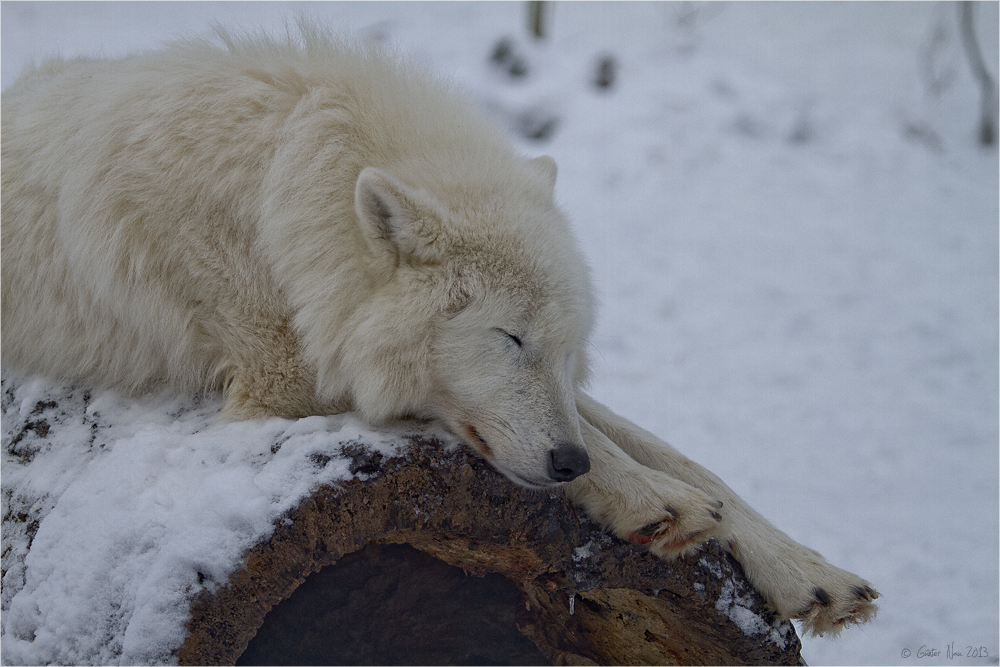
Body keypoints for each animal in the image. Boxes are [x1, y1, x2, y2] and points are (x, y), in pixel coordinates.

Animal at [0, 26, 876, 636]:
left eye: (564, 349)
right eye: (510, 338)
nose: (567, 463)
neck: (288, 199)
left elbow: (672, 448)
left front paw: (807, 570)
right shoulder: (284, 390)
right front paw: (647, 497)